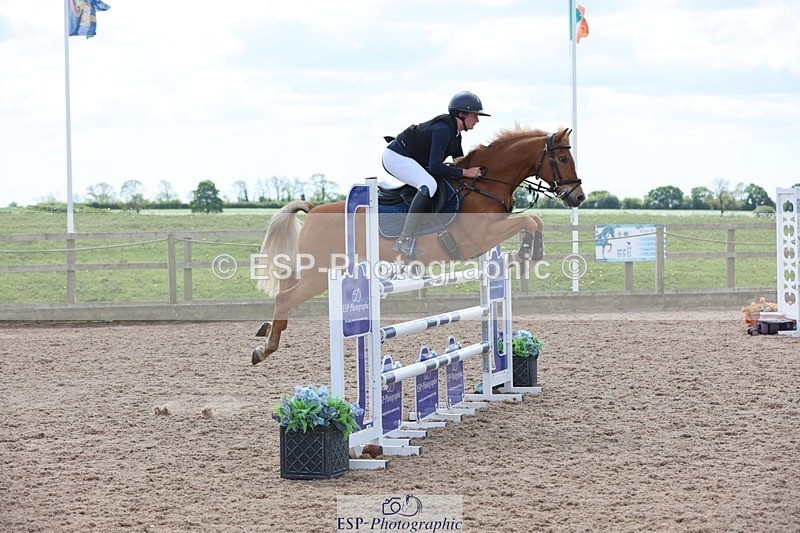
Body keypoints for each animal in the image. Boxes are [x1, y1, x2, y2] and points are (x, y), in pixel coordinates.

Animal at [251, 126, 585, 364]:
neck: (484, 186)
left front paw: (529, 251)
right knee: (285, 297)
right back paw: (265, 349)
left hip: (317, 268)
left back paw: (267, 328)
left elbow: (535, 220)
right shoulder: (481, 237)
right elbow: (529, 221)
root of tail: (313, 208)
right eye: (563, 159)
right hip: (322, 273)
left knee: (286, 285)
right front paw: (530, 251)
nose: (578, 197)